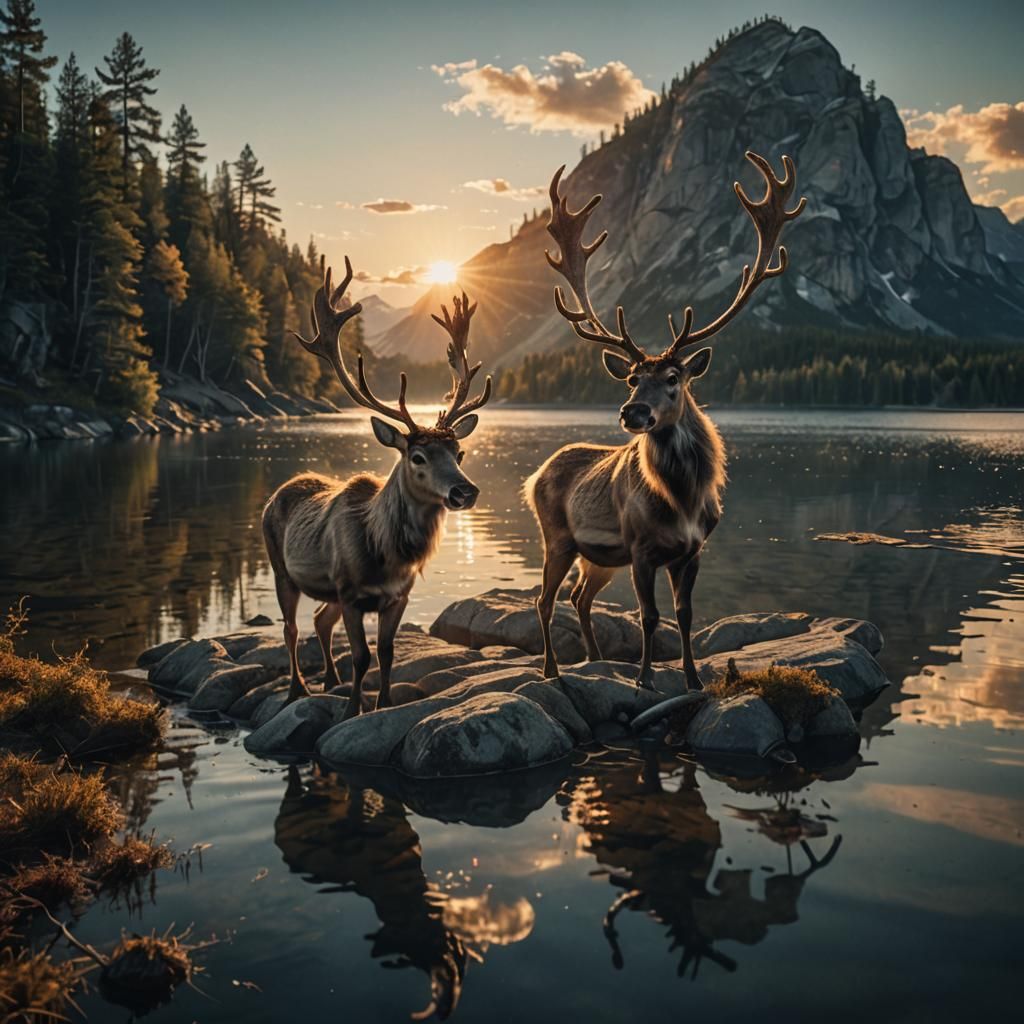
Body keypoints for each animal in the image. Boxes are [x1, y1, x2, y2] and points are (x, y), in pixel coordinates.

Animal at [262, 258, 492, 719]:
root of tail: (278, 491)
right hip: (281, 568)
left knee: (319, 620)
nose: (465, 492)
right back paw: (298, 689)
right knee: (292, 628)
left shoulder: (396, 596)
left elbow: (386, 653)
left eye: (459, 452)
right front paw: (353, 710)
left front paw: (382, 704)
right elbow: (362, 655)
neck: (388, 554)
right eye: (417, 457)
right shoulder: (351, 593)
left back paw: (328, 679)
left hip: (325, 589)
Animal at [525, 151, 805, 691]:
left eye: (675, 376)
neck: (683, 500)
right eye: (633, 379)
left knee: (578, 597)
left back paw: (595, 659)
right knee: (545, 599)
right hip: (559, 538)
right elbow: (650, 616)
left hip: (598, 557)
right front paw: (645, 680)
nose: (633, 412)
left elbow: (685, 615)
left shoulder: (692, 551)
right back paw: (551, 668)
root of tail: (533, 475)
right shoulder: (640, 549)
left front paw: (693, 680)